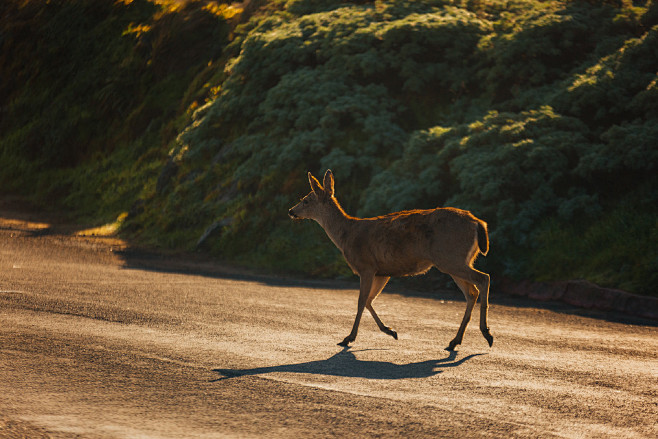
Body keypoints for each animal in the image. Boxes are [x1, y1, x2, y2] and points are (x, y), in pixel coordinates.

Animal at [288, 169, 492, 350]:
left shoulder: (366, 266)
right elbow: (369, 300)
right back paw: (454, 341)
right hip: (455, 259)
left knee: (484, 278)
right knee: (471, 292)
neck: (346, 235)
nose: (291, 211)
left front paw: (349, 337)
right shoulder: (382, 272)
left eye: (306, 200)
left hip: (450, 257)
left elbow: (361, 301)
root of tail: (477, 222)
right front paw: (390, 331)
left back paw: (486, 333)